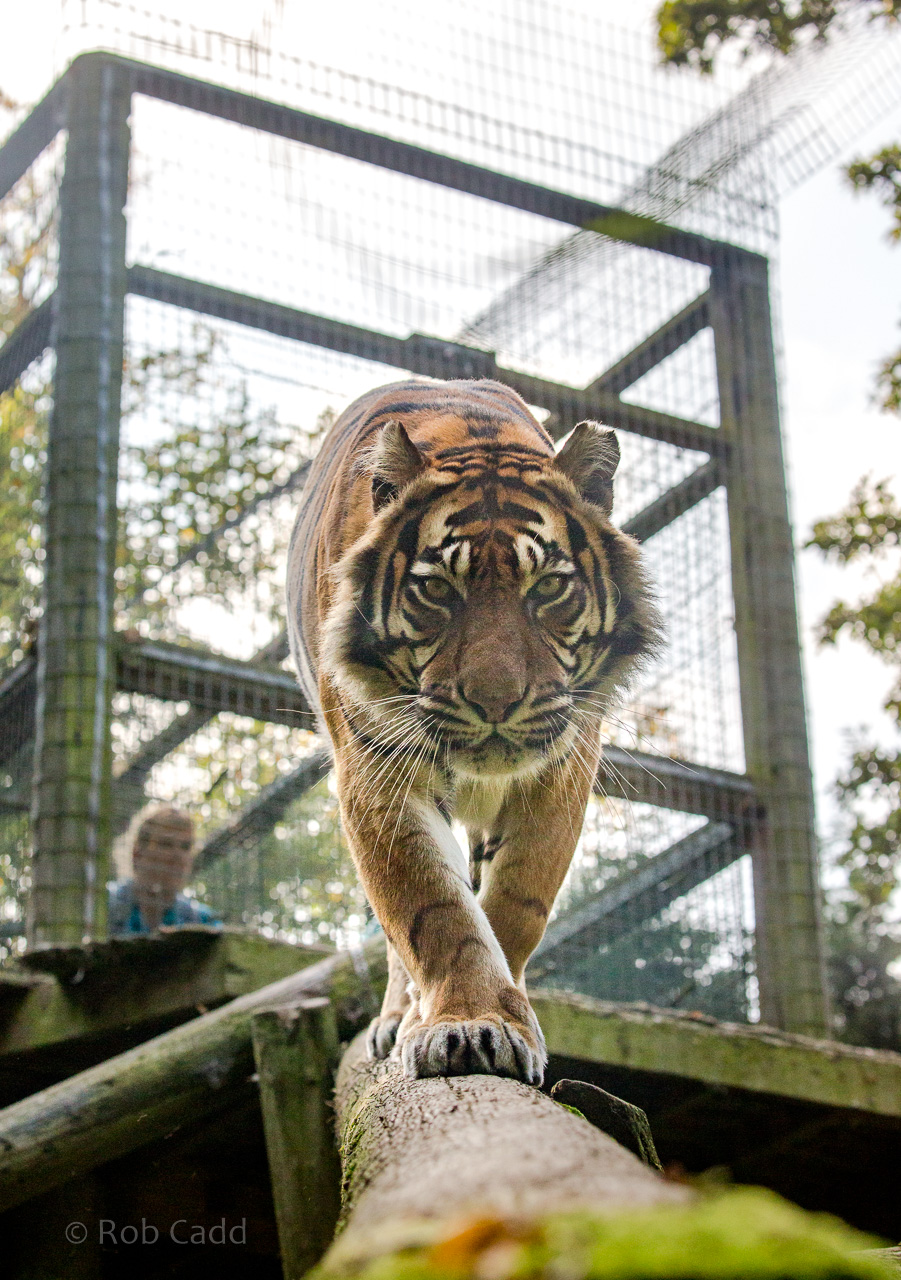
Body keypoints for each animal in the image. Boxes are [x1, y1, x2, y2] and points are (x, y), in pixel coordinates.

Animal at [286, 378, 660, 1085]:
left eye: (548, 587)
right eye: (437, 590)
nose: (495, 701)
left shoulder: (565, 763)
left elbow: (514, 902)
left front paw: (505, 1014)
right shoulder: (376, 766)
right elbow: (433, 908)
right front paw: (466, 1022)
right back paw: (398, 1017)